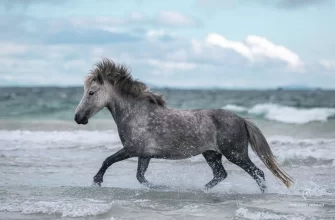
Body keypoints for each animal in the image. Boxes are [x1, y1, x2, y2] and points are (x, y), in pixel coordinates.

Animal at [74, 58, 294, 192]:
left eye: (91, 92)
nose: (78, 118)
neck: (136, 113)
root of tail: (242, 119)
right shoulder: (144, 155)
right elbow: (140, 177)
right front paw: (161, 187)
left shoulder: (132, 149)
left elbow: (108, 160)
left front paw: (97, 181)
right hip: (211, 154)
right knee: (220, 174)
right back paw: (202, 190)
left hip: (236, 154)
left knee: (258, 173)